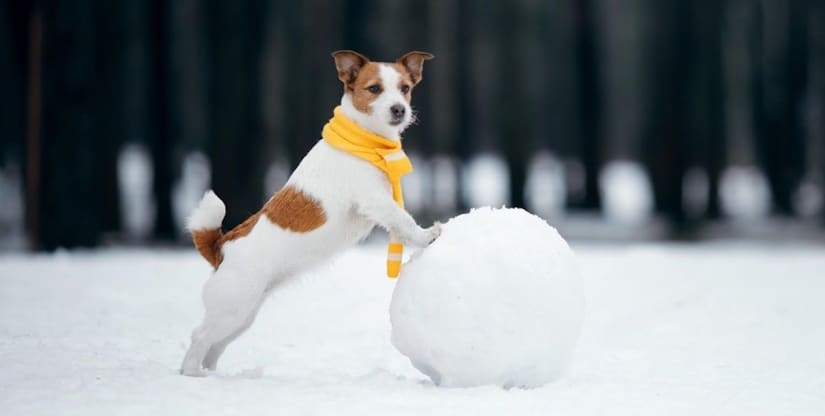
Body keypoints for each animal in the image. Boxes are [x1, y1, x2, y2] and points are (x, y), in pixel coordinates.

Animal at [179, 50, 438, 376]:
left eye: (405, 88)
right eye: (374, 89)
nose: (399, 110)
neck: (365, 140)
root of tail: (220, 247)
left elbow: (400, 224)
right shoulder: (375, 201)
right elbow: (404, 220)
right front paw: (428, 236)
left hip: (243, 314)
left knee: (215, 344)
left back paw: (212, 373)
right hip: (233, 305)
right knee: (199, 336)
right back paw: (192, 372)